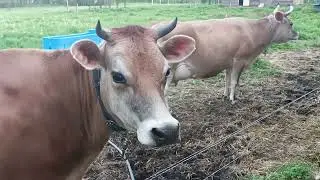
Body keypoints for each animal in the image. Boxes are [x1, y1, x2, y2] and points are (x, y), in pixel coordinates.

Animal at [154, 4, 298, 104]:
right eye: (291, 23)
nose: (298, 35)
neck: (254, 31)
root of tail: (156, 27)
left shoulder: (229, 63)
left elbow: (228, 80)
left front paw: (226, 95)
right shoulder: (240, 60)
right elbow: (235, 81)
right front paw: (233, 99)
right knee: (164, 93)